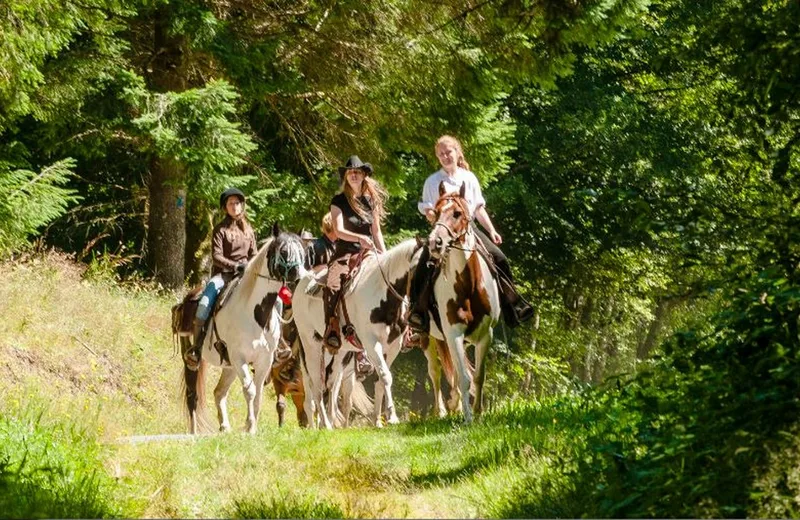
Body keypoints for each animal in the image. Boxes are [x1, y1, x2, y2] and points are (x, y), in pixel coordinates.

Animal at [175, 224, 306, 434]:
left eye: (303, 252)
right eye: (284, 251)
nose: (300, 278)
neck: (255, 314)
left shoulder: (264, 360)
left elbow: (258, 393)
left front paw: (252, 427)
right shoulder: (239, 357)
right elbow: (250, 390)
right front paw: (249, 425)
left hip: (229, 367)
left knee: (219, 392)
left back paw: (225, 427)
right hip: (192, 359)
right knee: (192, 395)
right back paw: (194, 431)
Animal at [292, 238, 424, 428]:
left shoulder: (393, 346)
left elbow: (382, 379)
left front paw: (378, 421)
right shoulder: (371, 343)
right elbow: (385, 376)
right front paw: (392, 417)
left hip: (339, 353)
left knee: (330, 386)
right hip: (310, 346)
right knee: (316, 386)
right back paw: (326, 425)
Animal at [424, 183, 500, 422]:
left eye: (457, 213)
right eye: (436, 212)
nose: (435, 242)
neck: (469, 286)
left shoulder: (485, 335)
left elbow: (478, 376)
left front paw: (478, 412)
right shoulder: (454, 333)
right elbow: (465, 378)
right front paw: (467, 418)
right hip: (429, 338)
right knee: (435, 371)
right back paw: (441, 410)